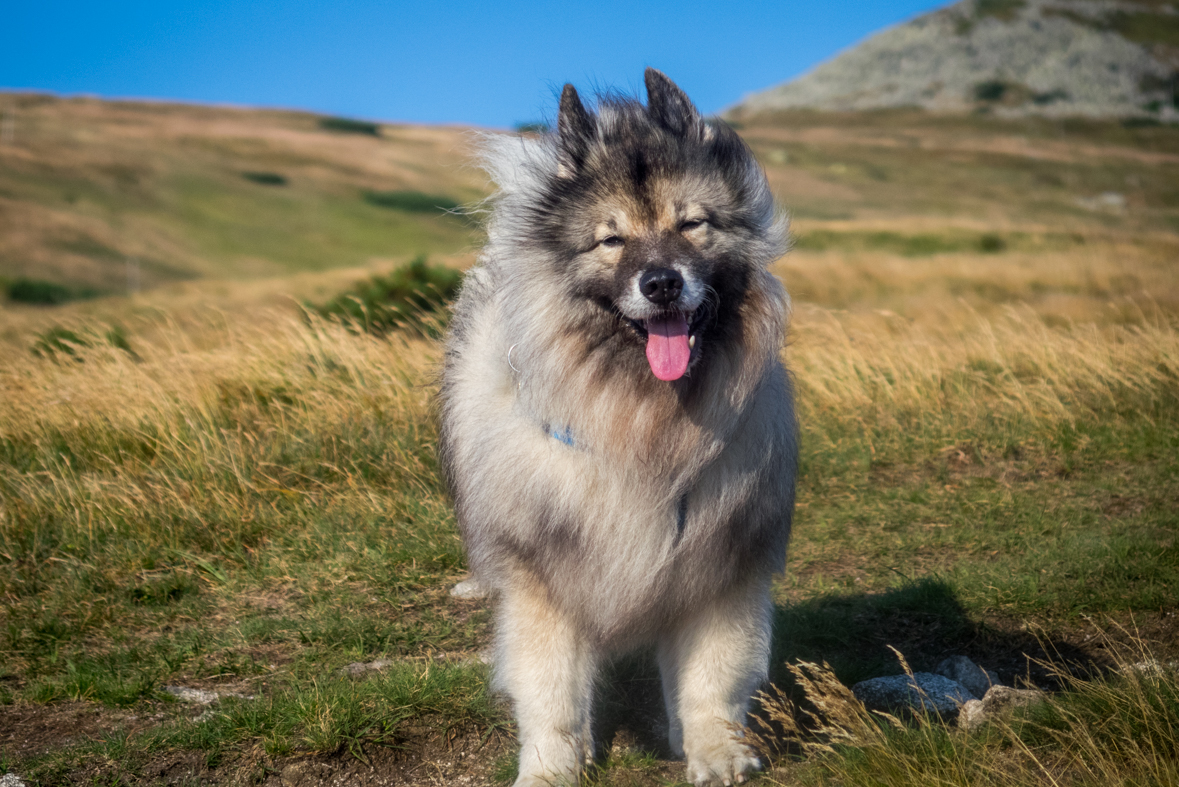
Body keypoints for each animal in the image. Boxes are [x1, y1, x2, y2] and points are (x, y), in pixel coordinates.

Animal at [443, 69, 801, 787]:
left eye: (691, 224)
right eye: (611, 240)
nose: (661, 283)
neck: (641, 426)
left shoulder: (721, 568)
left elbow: (712, 676)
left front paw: (715, 749)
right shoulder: (544, 577)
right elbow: (550, 687)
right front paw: (551, 767)